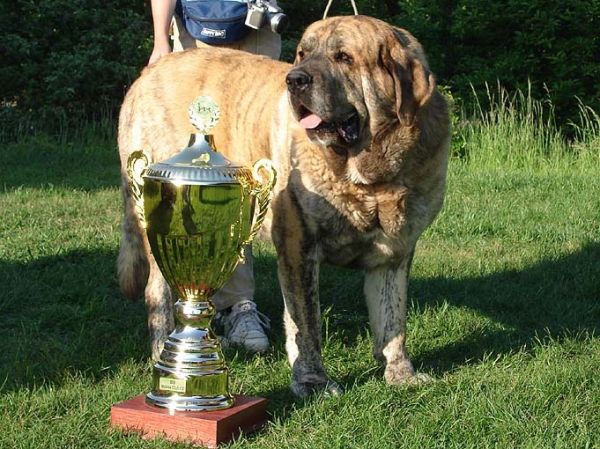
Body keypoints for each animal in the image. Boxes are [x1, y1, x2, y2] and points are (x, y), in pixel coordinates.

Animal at [118, 14, 450, 396]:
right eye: (303, 54)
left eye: (344, 58)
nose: (295, 79)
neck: (370, 177)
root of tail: (148, 73)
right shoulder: (297, 245)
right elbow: (307, 322)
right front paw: (314, 381)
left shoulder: (395, 250)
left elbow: (393, 320)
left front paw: (400, 373)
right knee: (156, 289)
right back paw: (164, 353)